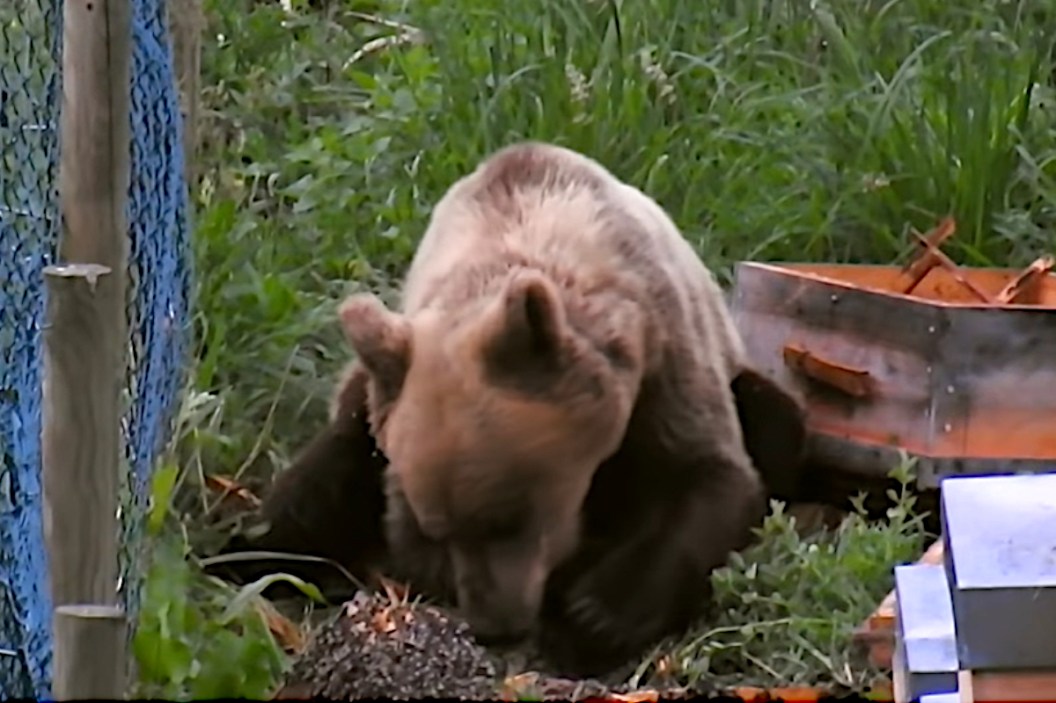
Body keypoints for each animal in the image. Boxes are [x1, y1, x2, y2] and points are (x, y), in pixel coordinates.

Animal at [214, 142, 806, 675]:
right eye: (439, 529)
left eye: (511, 519)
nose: (494, 625)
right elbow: (343, 479)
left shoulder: (664, 350)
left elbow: (709, 475)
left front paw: (590, 619)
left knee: (776, 420)